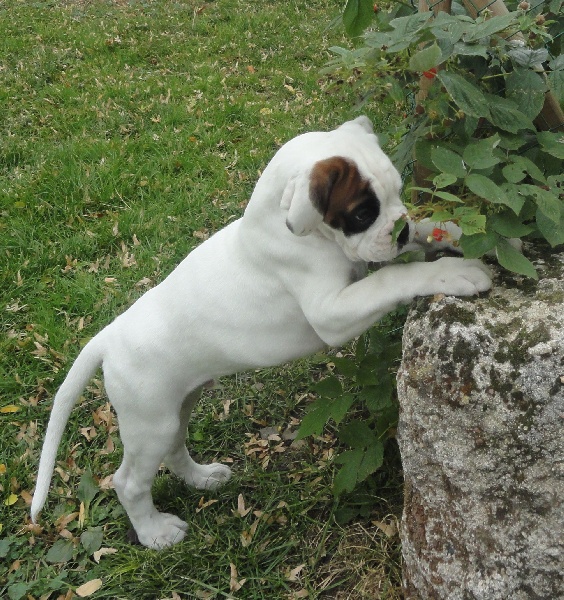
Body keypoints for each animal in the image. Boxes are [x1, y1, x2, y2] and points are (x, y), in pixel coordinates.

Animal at [30, 116, 492, 548]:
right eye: (362, 213)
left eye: (398, 193)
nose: (399, 228)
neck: (290, 228)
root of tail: (108, 337)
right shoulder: (332, 312)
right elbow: (394, 277)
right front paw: (453, 271)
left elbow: (427, 233)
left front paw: (459, 232)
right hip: (149, 422)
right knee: (128, 482)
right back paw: (155, 533)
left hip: (176, 407)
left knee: (175, 448)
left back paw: (201, 478)